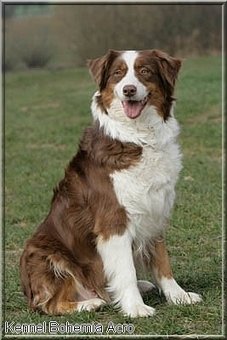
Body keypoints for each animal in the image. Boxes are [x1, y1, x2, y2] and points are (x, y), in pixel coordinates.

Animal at [19, 49, 200, 318]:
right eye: (118, 73)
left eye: (144, 71)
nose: (129, 90)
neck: (138, 137)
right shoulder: (113, 221)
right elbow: (125, 270)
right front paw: (135, 307)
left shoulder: (155, 209)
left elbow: (162, 261)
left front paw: (179, 296)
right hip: (42, 252)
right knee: (48, 304)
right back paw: (91, 302)